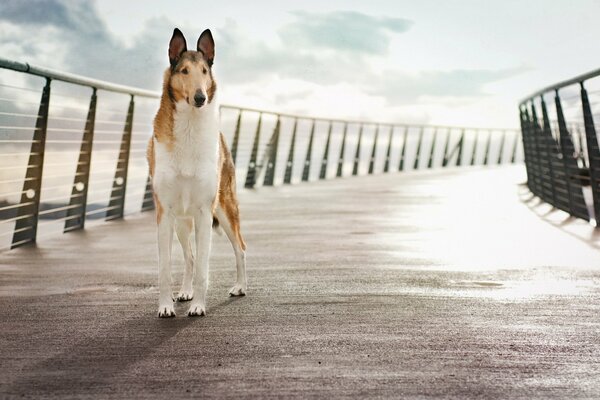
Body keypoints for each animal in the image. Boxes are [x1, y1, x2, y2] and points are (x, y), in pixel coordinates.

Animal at [149, 28, 247, 318]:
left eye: (204, 71)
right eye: (184, 71)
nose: (200, 98)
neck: (190, 128)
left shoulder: (205, 211)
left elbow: (204, 265)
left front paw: (198, 307)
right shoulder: (165, 213)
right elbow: (165, 268)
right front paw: (166, 306)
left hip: (226, 209)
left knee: (240, 248)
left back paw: (239, 287)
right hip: (182, 221)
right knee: (189, 257)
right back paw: (184, 292)